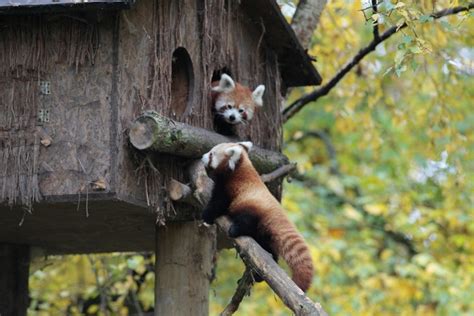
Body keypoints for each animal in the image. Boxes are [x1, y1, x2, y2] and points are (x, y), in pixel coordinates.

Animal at [202, 142, 312, 292]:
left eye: (211, 154)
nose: (202, 156)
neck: (240, 168)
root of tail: (277, 213)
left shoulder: (229, 188)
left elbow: (218, 203)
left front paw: (206, 216)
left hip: (252, 209)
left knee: (247, 221)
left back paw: (235, 230)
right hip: (265, 236)